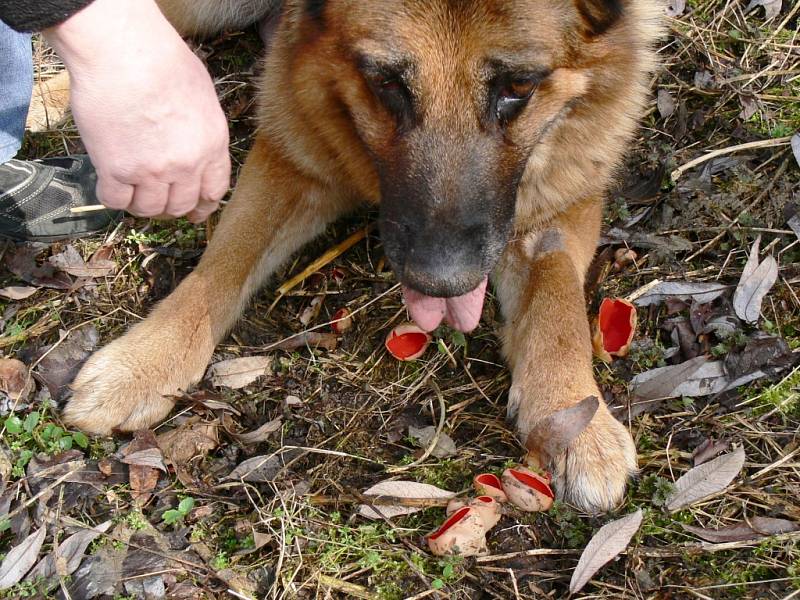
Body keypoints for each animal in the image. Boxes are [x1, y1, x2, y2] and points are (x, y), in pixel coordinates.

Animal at [62, 0, 664, 516]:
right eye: (386, 83)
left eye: (518, 87)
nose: (442, 283)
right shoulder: (291, 160)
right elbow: (224, 260)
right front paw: (144, 361)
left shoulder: (562, 204)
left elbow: (558, 302)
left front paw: (577, 418)